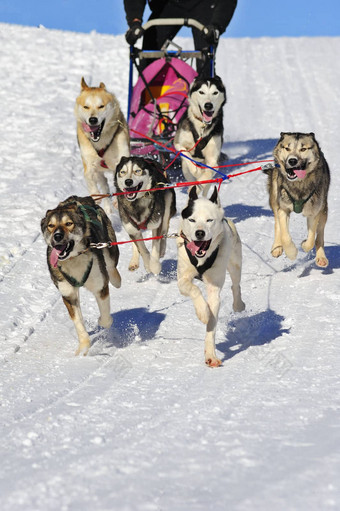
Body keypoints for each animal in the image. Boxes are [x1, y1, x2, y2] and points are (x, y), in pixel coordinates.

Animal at [75, 78, 129, 216]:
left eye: (101, 106)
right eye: (86, 107)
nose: (93, 120)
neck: (101, 141)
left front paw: (117, 199)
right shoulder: (89, 163)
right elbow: (88, 176)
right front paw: (95, 195)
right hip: (100, 174)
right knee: (105, 187)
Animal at [178, 187, 244, 368]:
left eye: (209, 220)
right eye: (192, 219)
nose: (199, 233)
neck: (201, 258)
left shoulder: (214, 289)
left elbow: (212, 324)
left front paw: (211, 355)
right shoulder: (182, 279)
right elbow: (194, 289)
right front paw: (203, 311)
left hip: (235, 263)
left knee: (236, 285)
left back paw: (238, 304)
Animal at [264, 132, 330, 268]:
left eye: (303, 149)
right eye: (287, 148)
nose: (292, 160)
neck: (298, 185)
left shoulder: (314, 212)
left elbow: (311, 240)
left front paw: (304, 244)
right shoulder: (283, 209)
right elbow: (285, 236)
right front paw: (291, 252)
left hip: (324, 210)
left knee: (319, 236)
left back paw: (321, 257)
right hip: (275, 199)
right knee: (277, 224)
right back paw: (277, 247)